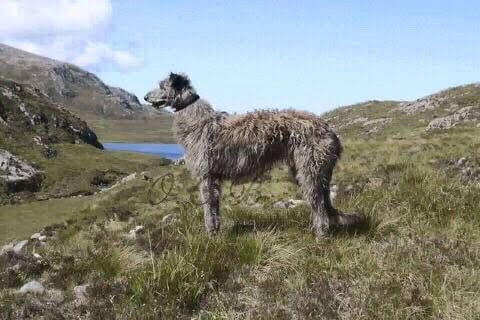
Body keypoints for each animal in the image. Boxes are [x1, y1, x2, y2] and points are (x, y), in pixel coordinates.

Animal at [144, 74, 362, 236]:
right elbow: (214, 210)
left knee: (319, 208)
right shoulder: (213, 179)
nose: (145, 97)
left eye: (162, 86)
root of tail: (329, 129)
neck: (197, 118)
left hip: (310, 170)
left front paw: (210, 236)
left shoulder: (206, 177)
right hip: (310, 170)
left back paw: (320, 235)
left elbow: (208, 211)